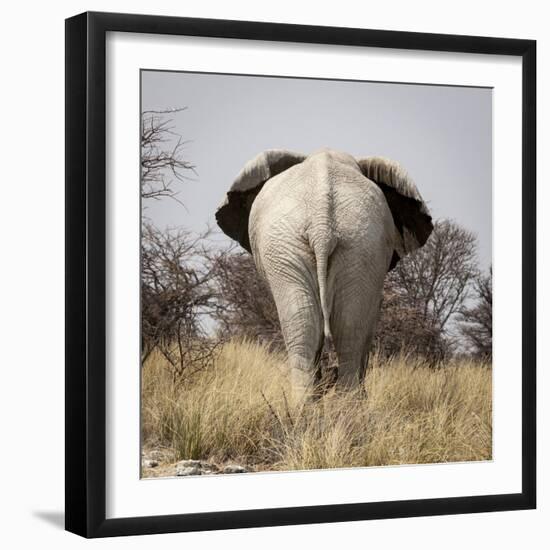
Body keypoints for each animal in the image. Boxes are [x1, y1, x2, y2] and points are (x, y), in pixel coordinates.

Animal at [217, 149, 436, 404]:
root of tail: (322, 221)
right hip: (315, 243)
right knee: (334, 327)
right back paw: (329, 406)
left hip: (351, 244)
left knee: (330, 327)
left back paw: (322, 407)